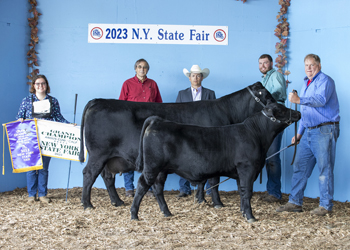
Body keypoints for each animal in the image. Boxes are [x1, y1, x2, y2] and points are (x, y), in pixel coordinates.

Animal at [80, 82, 276, 209]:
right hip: (98, 153)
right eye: (267, 95)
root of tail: (98, 100)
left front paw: (201, 199)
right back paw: (87, 204)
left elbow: (203, 180)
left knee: (107, 177)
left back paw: (117, 201)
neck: (227, 112)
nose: (278, 104)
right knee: (89, 174)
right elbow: (213, 180)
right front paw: (218, 203)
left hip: (109, 157)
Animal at [131, 101, 300, 223]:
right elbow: (247, 192)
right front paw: (250, 216)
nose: (298, 112)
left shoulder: (240, 172)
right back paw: (134, 215)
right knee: (142, 185)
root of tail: (157, 121)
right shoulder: (247, 168)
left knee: (158, 188)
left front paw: (243, 212)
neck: (256, 134)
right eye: (282, 109)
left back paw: (167, 213)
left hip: (161, 170)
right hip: (152, 166)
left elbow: (241, 192)